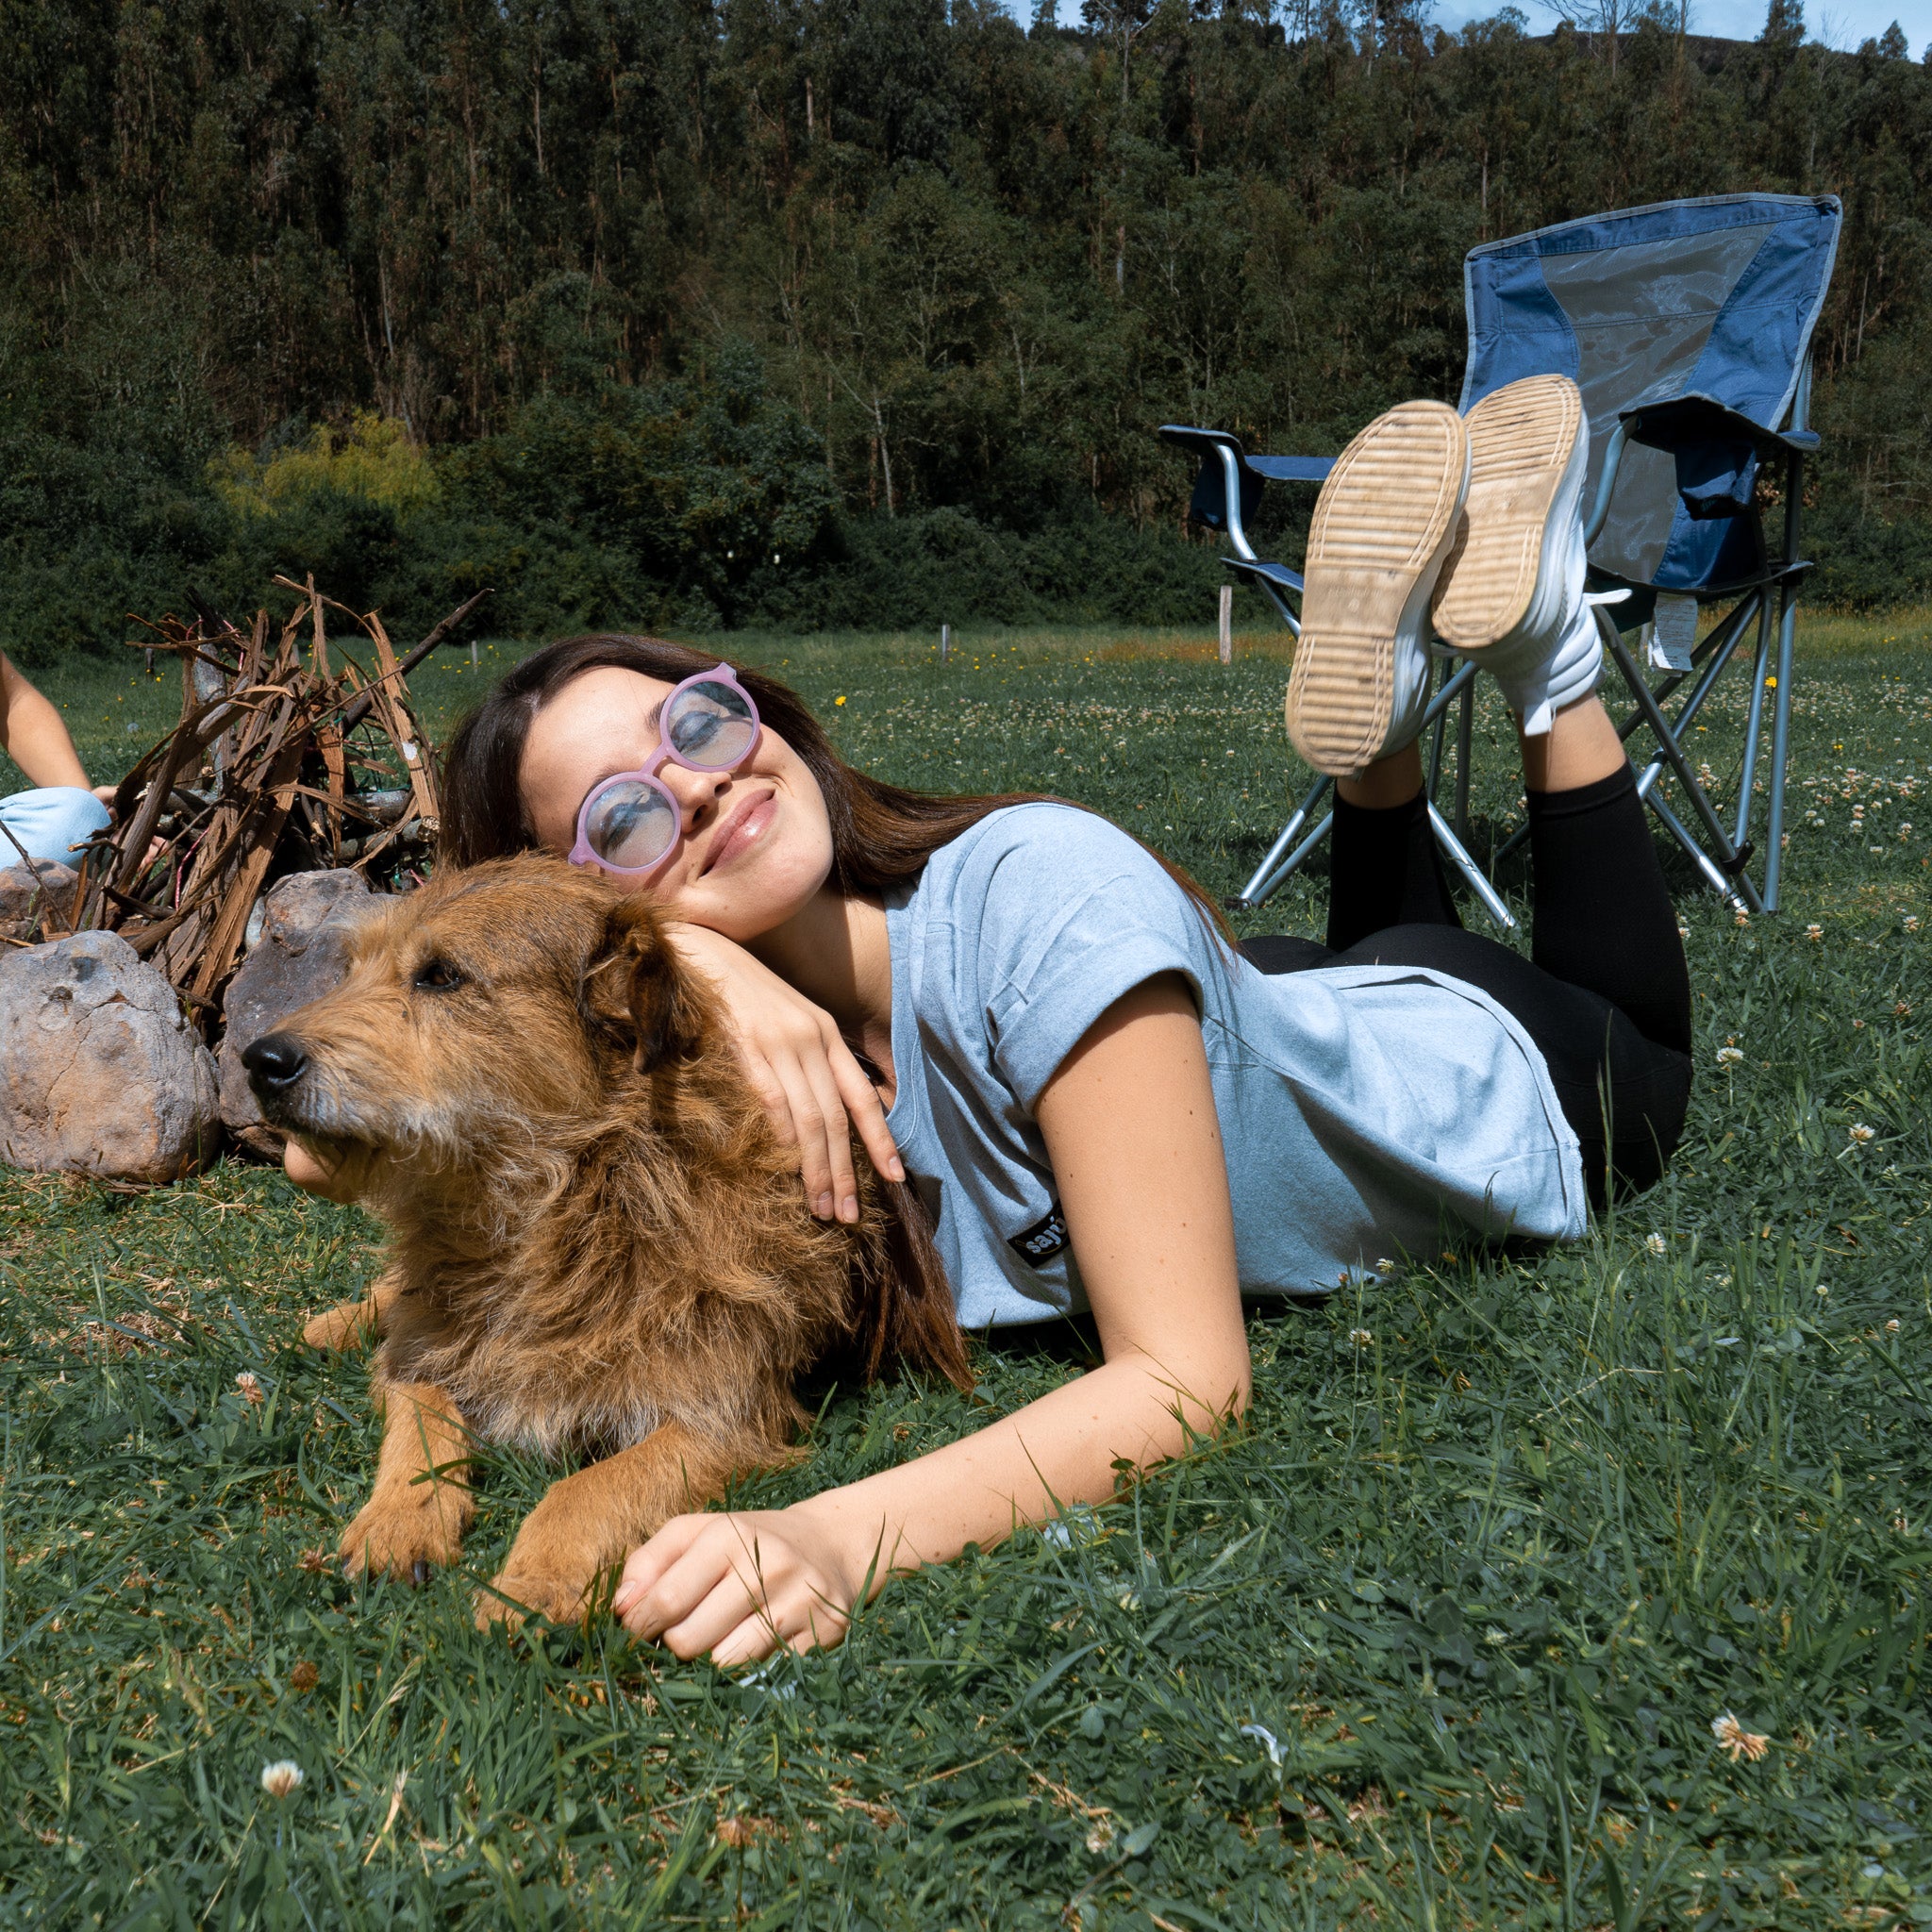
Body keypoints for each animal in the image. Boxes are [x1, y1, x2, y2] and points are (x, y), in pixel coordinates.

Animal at [242, 854, 966, 1623]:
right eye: (353, 969)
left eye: (440, 975)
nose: (260, 1059)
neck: (569, 1199)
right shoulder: (423, 1357)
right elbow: (423, 1417)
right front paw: (395, 1522)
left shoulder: (727, 1411)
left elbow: (587, 1487)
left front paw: (533, 1585)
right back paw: (332, 1325)